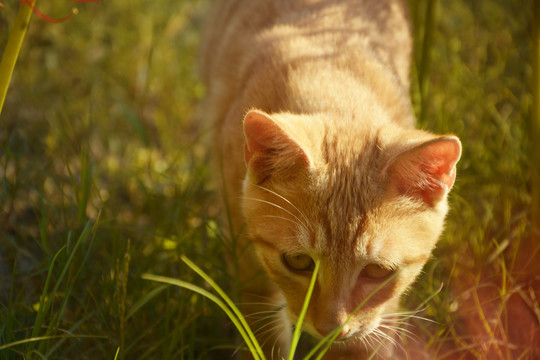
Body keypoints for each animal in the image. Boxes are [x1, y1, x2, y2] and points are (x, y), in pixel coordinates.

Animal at [200, 0, 462, 358]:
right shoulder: (242, 252)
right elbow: (261, 329)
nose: (332, 329)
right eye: (298, 261)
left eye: (378, 271)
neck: (335, 80)